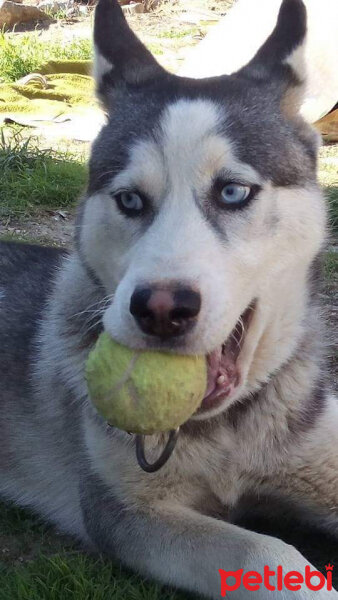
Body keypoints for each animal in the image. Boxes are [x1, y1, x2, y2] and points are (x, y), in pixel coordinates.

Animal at [0, 0, 338, 596]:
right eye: (131, 200)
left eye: (232, 191)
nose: (160, 310)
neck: (226, 430)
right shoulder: (127, 513)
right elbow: (265, 551)